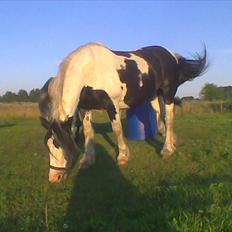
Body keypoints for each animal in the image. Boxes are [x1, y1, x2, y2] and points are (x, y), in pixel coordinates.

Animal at [38, 41, 207, 183]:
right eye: (49, 148)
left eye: (62, 147)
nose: (54, 178)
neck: (90, 72)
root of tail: (171, 55)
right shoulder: (85, 109)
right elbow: (88, 133)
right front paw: (87, 160)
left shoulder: (112, 105)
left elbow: (117, 129)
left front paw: (123, 156)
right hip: (154, 96)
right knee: (160, 116)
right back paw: (171, 140)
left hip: (168, 94)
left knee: (169, 118)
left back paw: (167, 150)